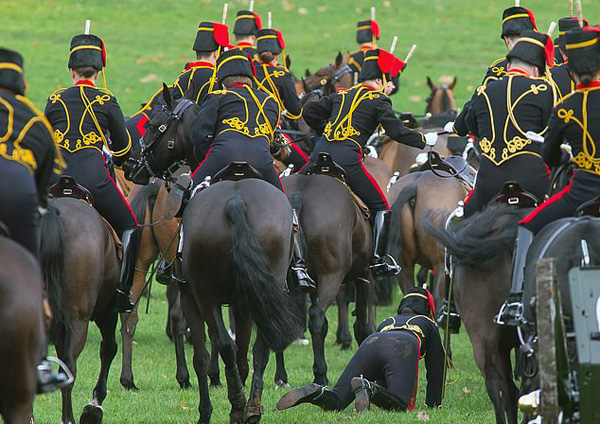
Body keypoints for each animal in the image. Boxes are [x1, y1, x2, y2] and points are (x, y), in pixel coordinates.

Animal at [41, 199, 120, 424]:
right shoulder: (107, 314)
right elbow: (109, 348)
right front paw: (94, 406)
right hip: (79, 320)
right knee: (69, 367)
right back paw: (68, 419)